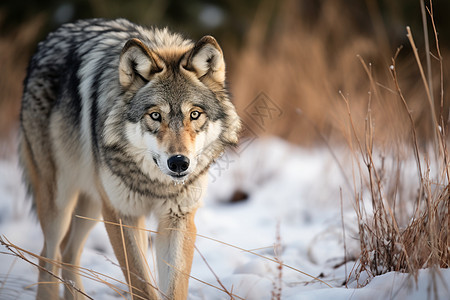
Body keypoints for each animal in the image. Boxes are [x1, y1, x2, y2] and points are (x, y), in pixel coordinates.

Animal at [19, 18, 241, 300]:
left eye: (194, 114)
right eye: (155, 115)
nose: (179, 162)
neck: (155, 183)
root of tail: (53, 35)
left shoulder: (178, 218)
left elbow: (173, 288)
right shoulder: (122, 215)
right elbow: (142, 286)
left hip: (92, 205)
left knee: (69, 254)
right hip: (61, 204)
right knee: (48, 256)